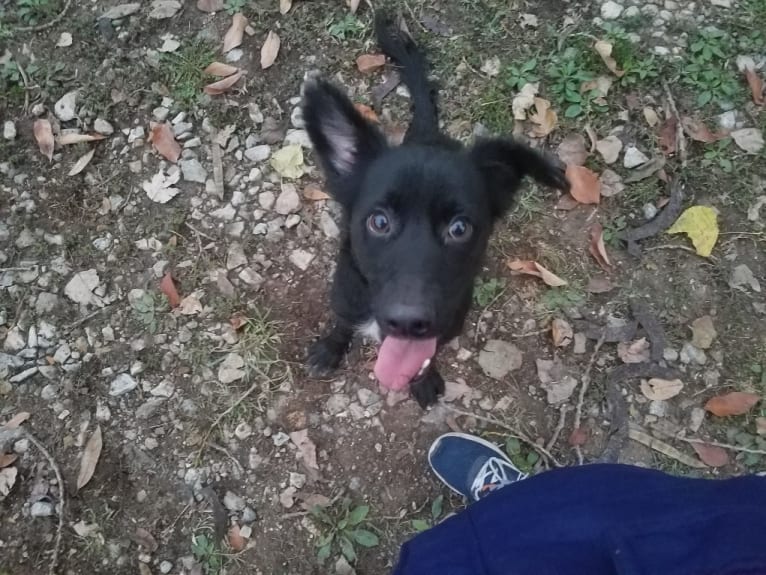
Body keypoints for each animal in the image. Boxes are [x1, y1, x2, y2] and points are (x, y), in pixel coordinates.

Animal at [300, 14, 568, 410]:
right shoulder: (346, 299)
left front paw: (424, 381)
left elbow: (429, 356)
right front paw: (330, 350)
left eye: (459, 228)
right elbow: (341, 325)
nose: (408, 323)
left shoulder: (447, 326)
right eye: (379, 222)